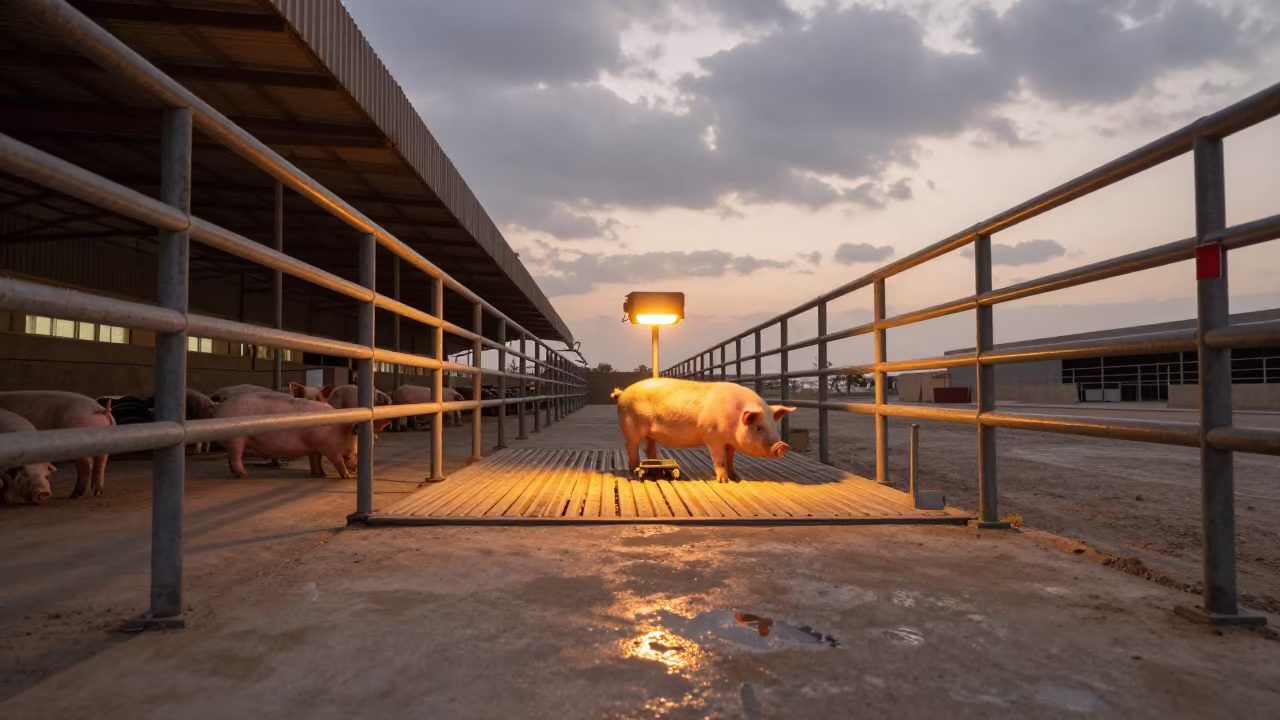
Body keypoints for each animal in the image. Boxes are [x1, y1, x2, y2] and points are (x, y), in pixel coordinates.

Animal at [210, 393, 357, 479]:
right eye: (353, 454)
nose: (355, 469)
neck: (336, 431)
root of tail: (220, 407)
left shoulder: (315, 447)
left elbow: (316, 460)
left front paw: (320, 474)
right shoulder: (329, 447)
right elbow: (337, 460)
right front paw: (347, 476)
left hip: (232, 441)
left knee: (230, 456)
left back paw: (234, 473)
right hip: (236, 439)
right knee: (235, 456)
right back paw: (244, 474)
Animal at [611, 378, 796, 484]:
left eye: (774, 426)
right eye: (758, 427)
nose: (782, 446)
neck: (734, 420)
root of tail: (622, 393)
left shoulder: (730, 442)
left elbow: (730, 459)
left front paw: (736, 477)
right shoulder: (712, 436)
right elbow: (719, 459)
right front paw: (723, 481)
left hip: (649, 433)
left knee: (647, 448)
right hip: (631, 427)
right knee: (631, 446)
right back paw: (634, 469)